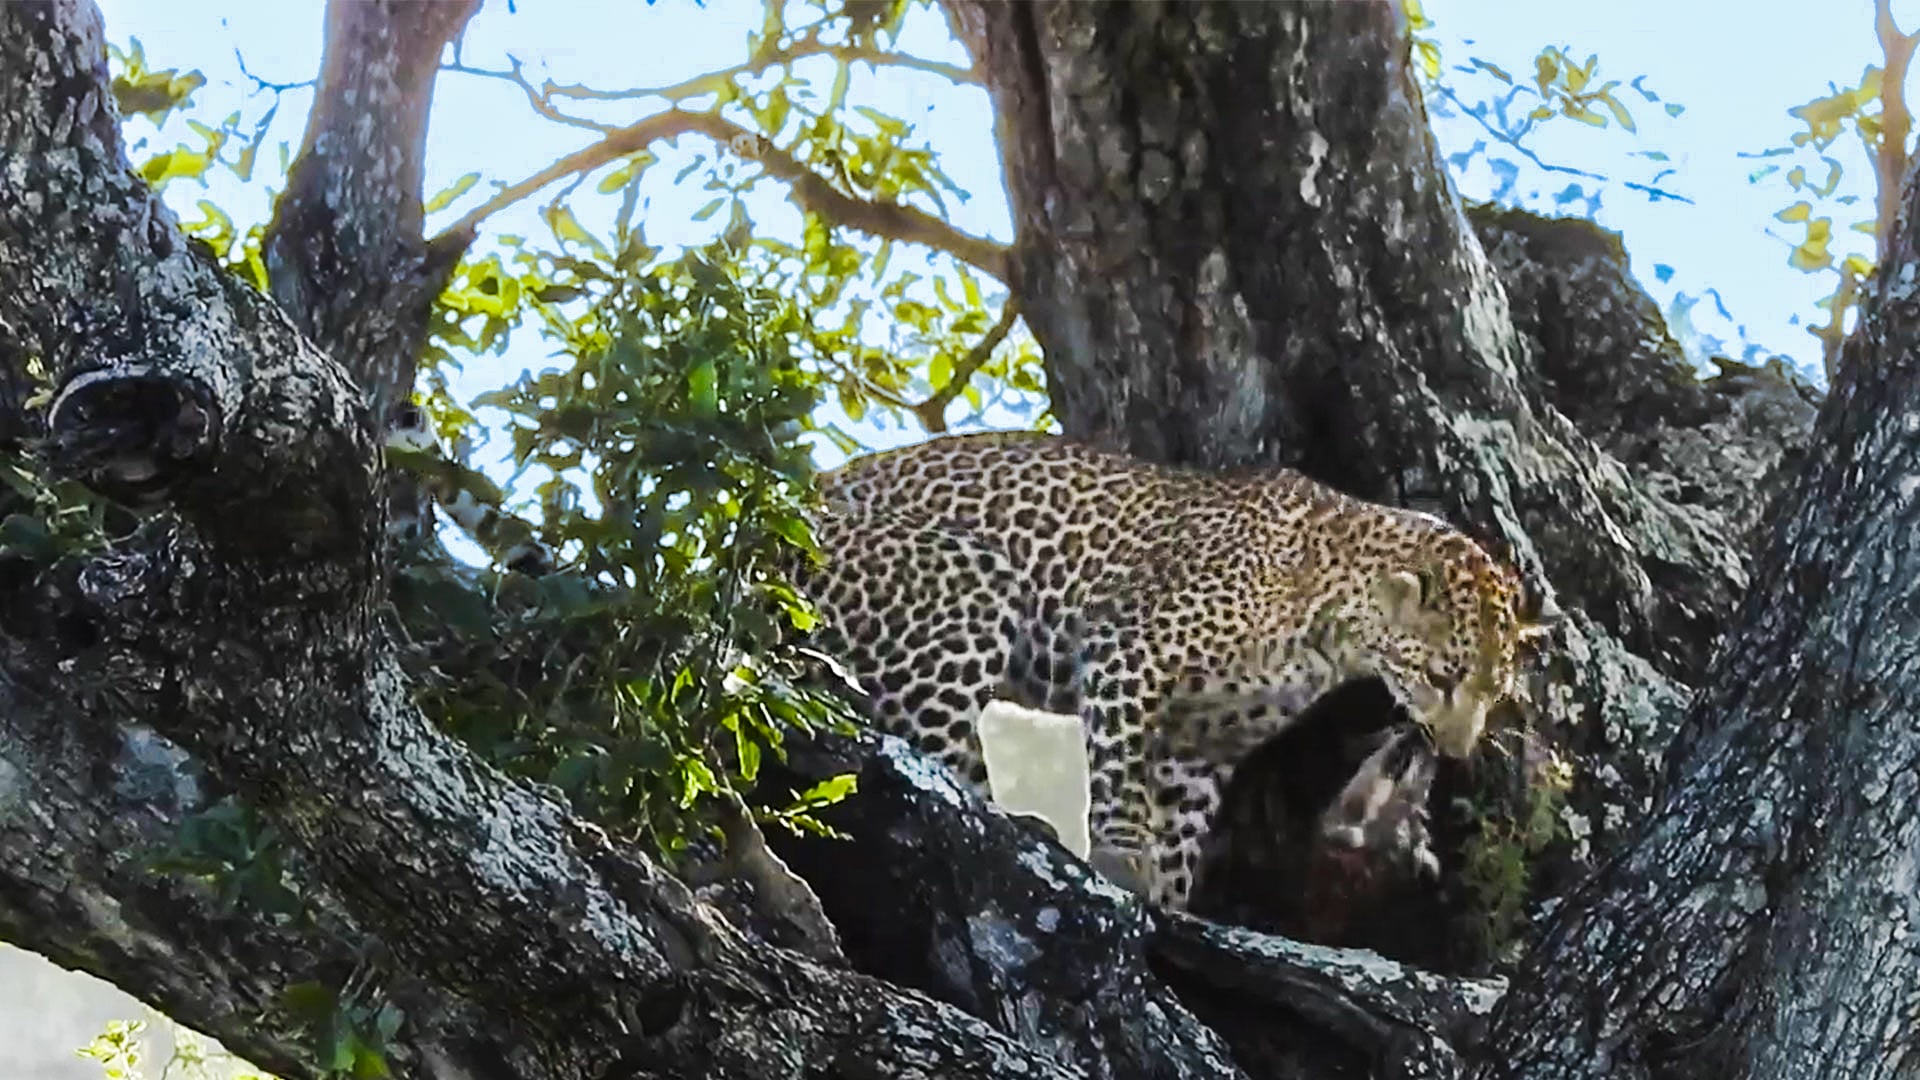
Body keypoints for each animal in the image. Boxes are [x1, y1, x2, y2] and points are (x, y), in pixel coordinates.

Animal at [791, 430, 1554, 908]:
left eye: (1492, 694)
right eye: (1442, 678)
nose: (1451, 751)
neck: (1334, 617)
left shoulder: (1202, 745)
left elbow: (1183, 832)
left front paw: (1170, 901)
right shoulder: (1126, 652)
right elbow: (1122, 774)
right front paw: (1121, 862)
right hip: (967, 582)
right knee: (930, 751)